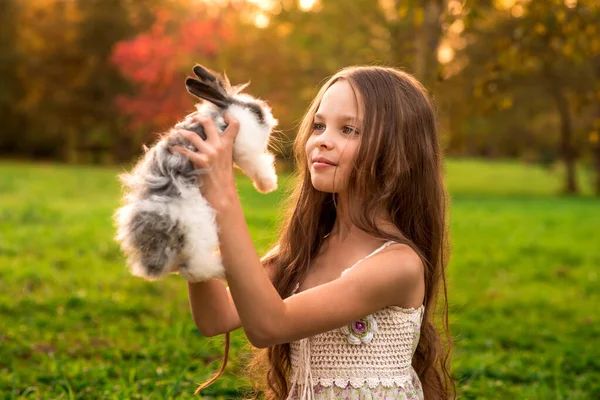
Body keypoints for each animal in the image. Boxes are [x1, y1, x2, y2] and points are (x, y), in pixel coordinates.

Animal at [113, 64, 278, 282]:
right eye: (257, 112)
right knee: (195, 268)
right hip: (198, 229)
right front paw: (269, 184)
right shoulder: (245, 147)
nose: (272, 121)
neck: (224, 116)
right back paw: (222, 270)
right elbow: (256, 163)